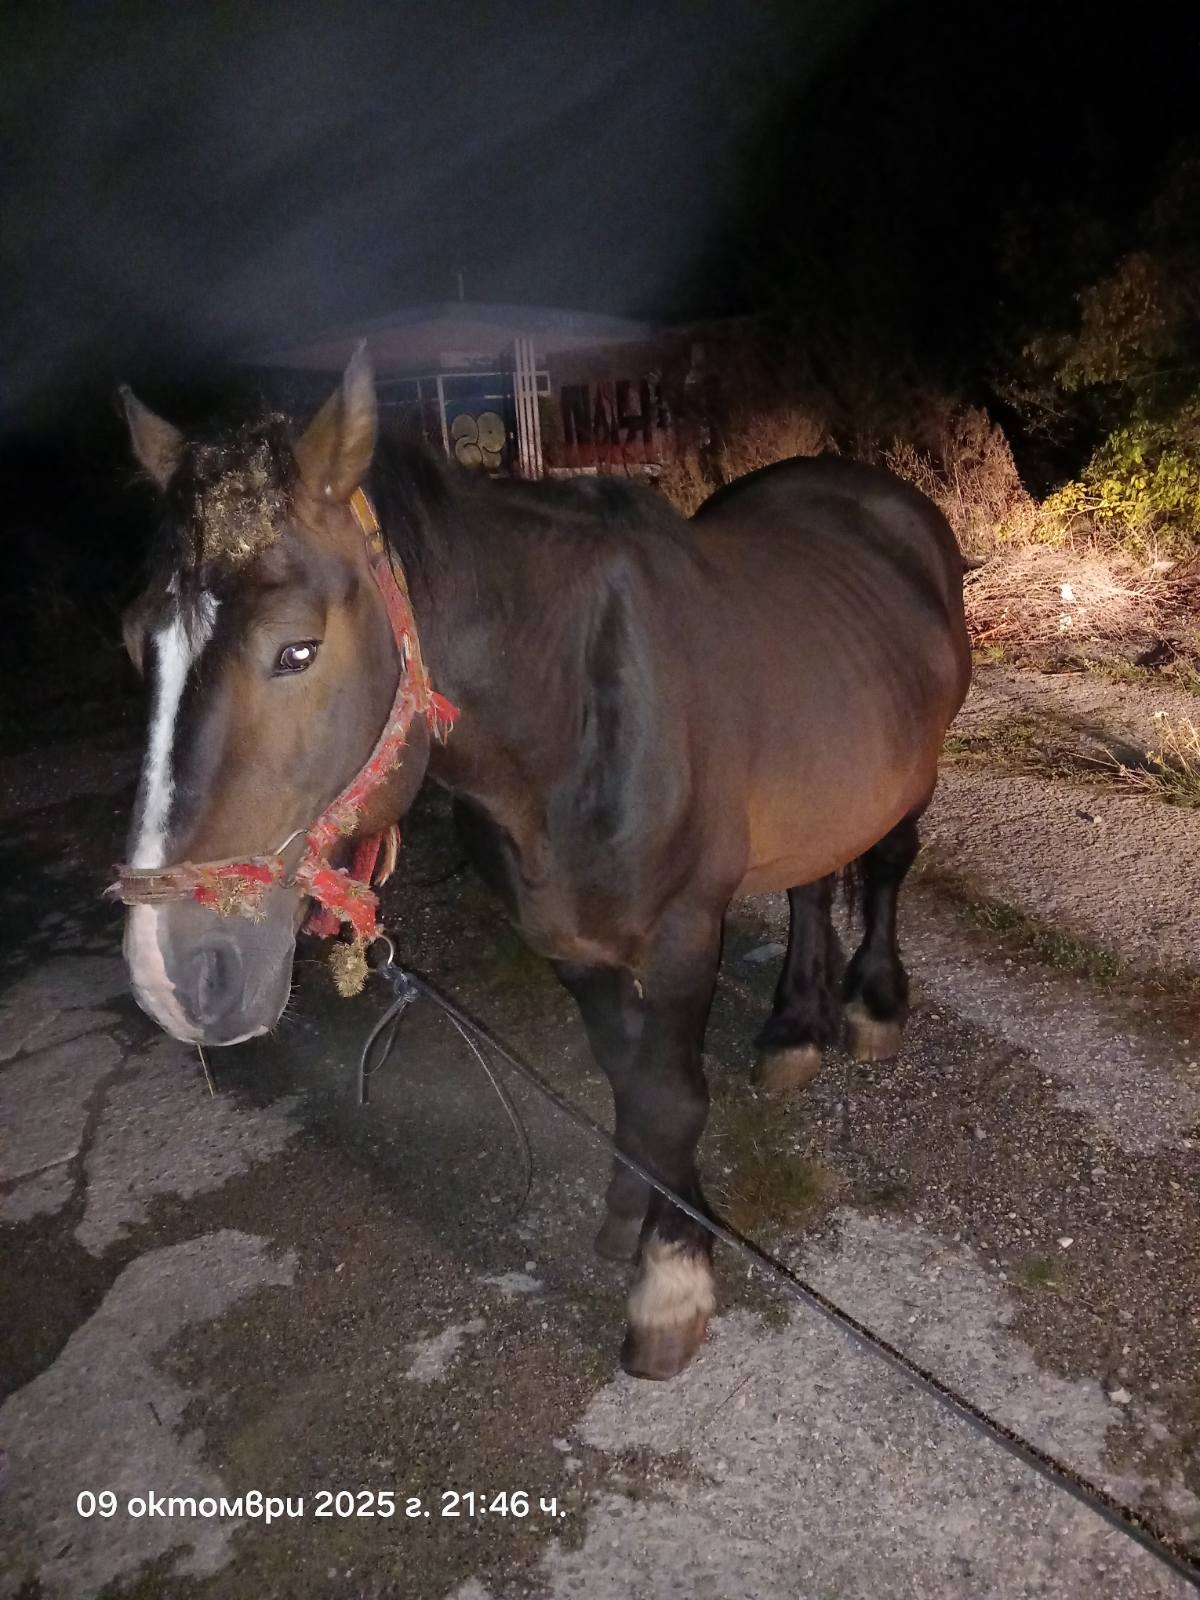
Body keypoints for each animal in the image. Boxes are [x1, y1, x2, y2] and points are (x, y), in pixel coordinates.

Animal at [112, 347, 971, 1380]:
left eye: (296, 649)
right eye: (135, 643)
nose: (171, 975)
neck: (576, 716)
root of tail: (883, 497)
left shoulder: (684, 931)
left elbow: (671, 1095)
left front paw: (670, 1284)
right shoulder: (564, 937)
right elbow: (627, 1077)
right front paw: (637, 1209)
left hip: (910, 772)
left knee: (884, 866)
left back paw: (872, 1005)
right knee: (812, 883)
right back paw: (796, 1028)